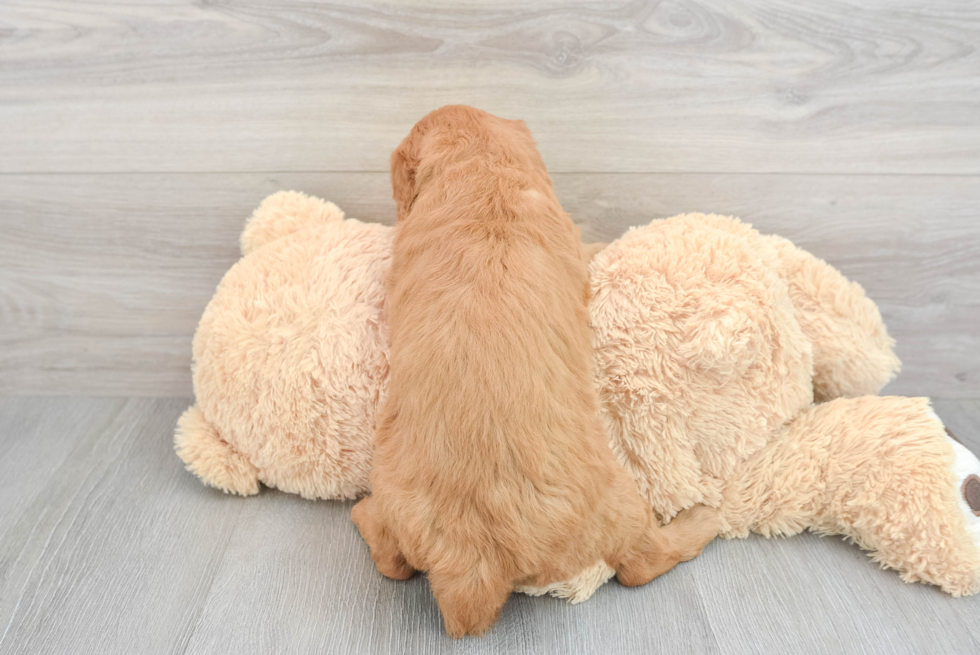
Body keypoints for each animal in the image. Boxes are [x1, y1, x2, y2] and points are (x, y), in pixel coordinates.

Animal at [352, 105, 720, 640]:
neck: (482, 169)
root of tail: (473, 557)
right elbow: (590, 248)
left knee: (391, 561)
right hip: (621, 506)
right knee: (642, 563)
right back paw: (706, 518)